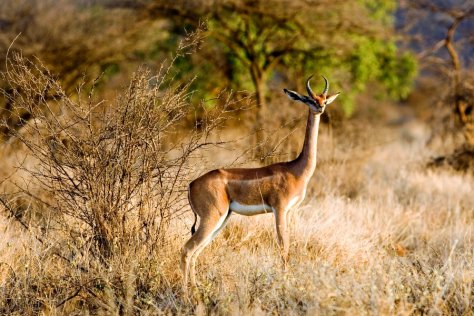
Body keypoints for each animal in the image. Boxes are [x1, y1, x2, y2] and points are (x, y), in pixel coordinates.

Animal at [181, 75, 340, 290]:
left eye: (324, 98)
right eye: (309, 99)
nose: (321, 108)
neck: (296, 170)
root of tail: (191, 184)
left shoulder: (290, 211)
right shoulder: (279, 209)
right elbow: (283, 247)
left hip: (222, 219)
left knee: (196, 251)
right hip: (212, 217)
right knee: (187, 249)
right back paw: (186, 292)